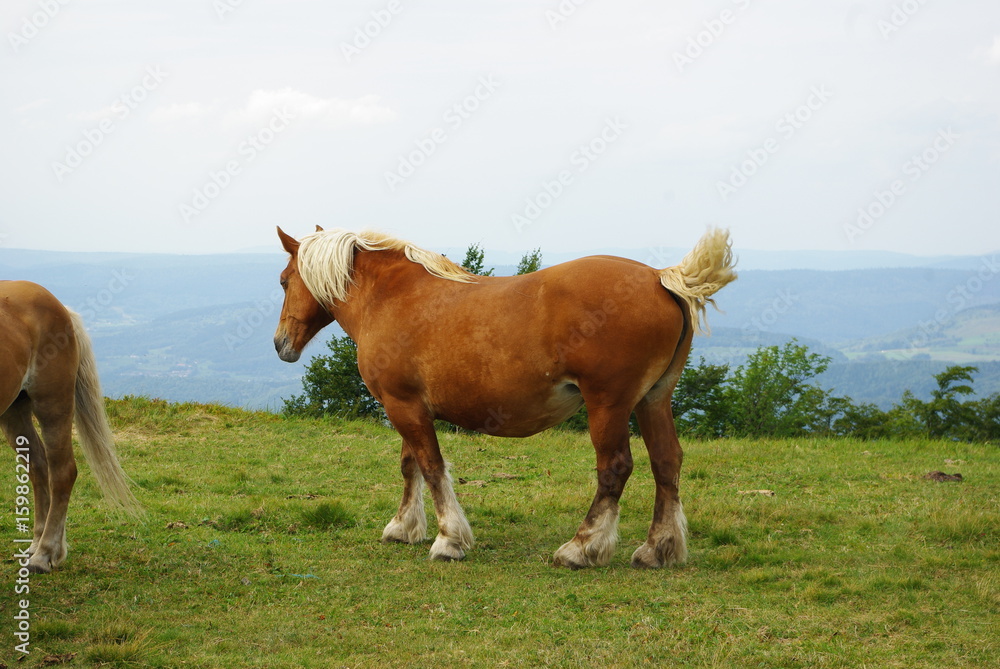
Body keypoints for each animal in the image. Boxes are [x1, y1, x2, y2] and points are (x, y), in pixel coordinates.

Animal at [1, 281, 138, 573]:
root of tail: (60, 307)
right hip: (14, 410)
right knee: (38, 466)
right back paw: (36, 545)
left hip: (53, 405)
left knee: (62, 472)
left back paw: (45, 554)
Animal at [274, 227, 736, 568]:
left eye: (282, 281)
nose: (281, 343)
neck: (391, 297)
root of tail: (660, 277)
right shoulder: (405, 404)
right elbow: (411, 467)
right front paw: (404, 527)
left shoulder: (403, 406)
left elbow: (431, 467)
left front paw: (449, 540)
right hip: (652, 401)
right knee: (667, 463)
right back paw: (658, 549)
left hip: (609, 405)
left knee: (615, 469)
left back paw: (581, 548)